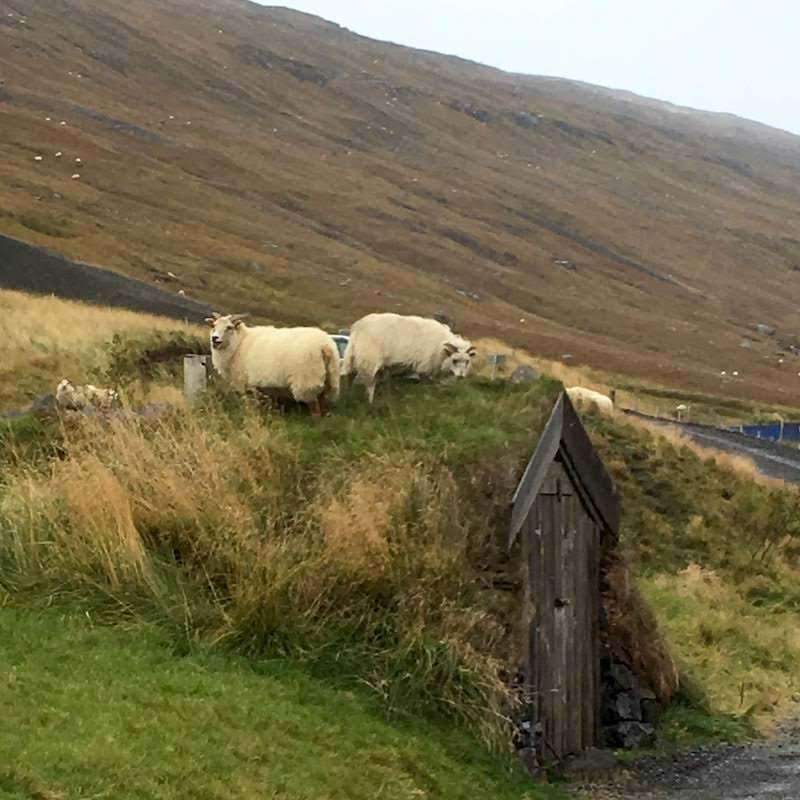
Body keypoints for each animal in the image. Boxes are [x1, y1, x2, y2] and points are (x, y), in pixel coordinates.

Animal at [205, 310, 340, 416]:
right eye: (214, 326)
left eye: (229, 327)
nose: (215, 339)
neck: (239, 343)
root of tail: (325, 345)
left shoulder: (245, 384)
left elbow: (249, 406)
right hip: (329, 378)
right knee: (323, 402)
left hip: (307, 380)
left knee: (315, 407)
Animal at [342, 310, 476, 404]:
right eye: (455, 360)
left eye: (467, 361)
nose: (461, 377)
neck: (440, 346)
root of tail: (359, 326)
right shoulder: (425, 366)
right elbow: (425, 384)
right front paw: (425, 397)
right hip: (369, 359)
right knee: (369, 384)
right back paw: (369, 403)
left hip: (354, 355)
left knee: (350, 376)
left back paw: (348, 395)